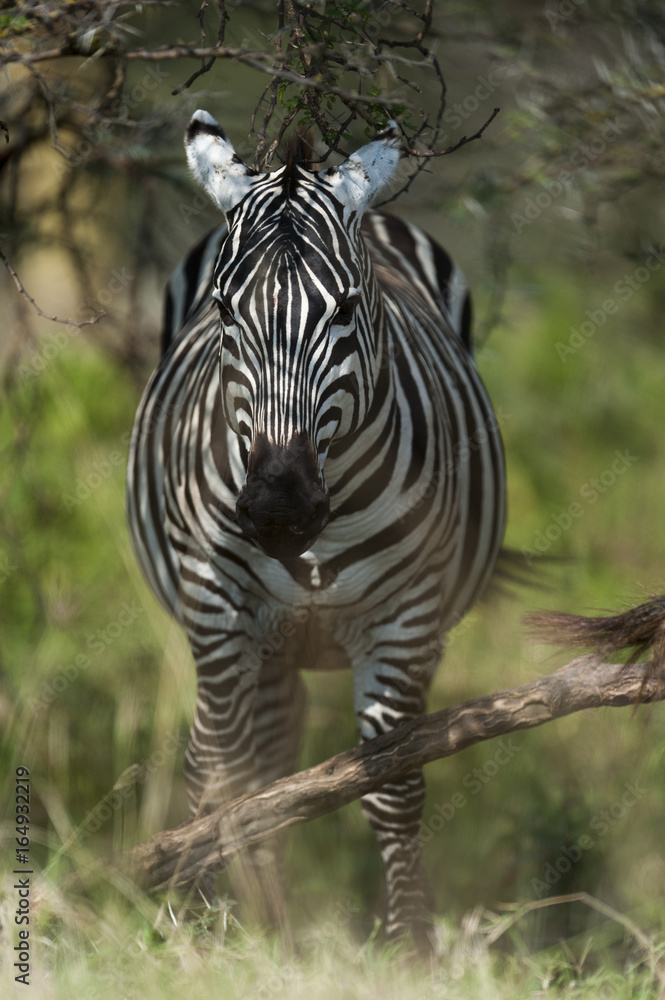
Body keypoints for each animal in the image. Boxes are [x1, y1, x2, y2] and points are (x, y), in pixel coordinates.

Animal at [126, 110, 506, 949]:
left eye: (344, 310)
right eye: (225, 310)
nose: (280, 507)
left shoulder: (403, 621)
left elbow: (391, 786)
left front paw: (409, 948)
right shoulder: (216, 611)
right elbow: (223, 781)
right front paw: (198, 931)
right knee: (253, 762)